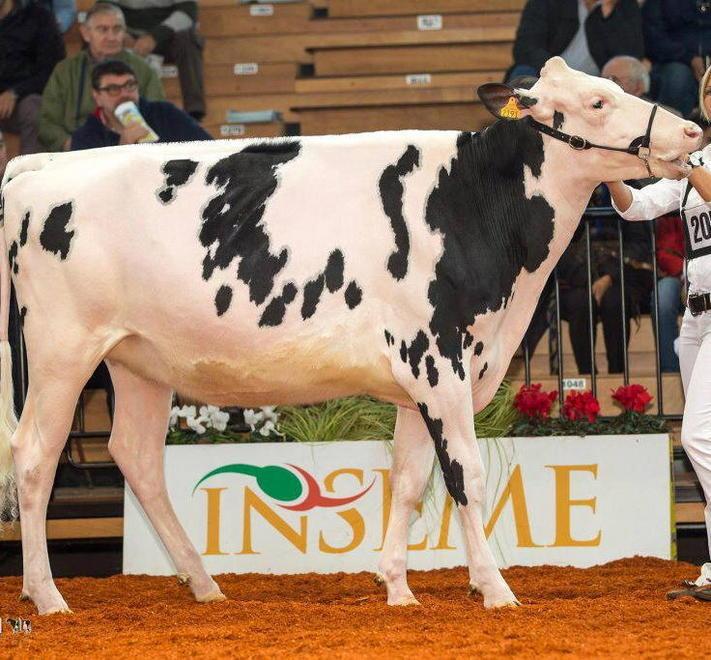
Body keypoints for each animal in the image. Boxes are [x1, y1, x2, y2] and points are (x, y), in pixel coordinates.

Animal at [0, 57, 701, 615]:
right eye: (597, 101)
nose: (693, 130)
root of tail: (40, 165)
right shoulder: (438, 359)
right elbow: (466, 475)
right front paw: (496, 589)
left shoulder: (422, 379)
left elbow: (410, 481)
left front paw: (397, 587)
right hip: (63, 349)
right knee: (34, 456)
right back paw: (48, 596)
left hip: (138, 359)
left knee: (138, 458)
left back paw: (203, 585)